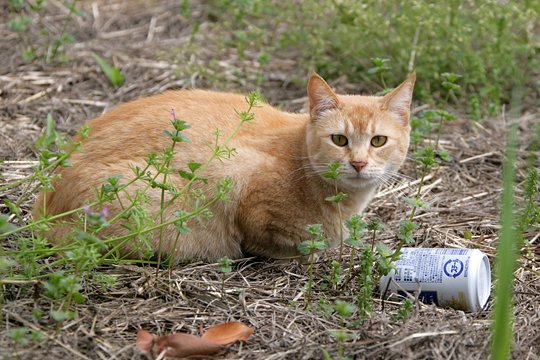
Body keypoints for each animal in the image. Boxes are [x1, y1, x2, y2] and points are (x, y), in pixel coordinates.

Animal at [34, 72, 414, 262]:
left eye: (378, 141)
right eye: (339, 139)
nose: (359, 163)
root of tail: (44, 207)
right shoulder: (241, 181)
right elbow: (281, 244)